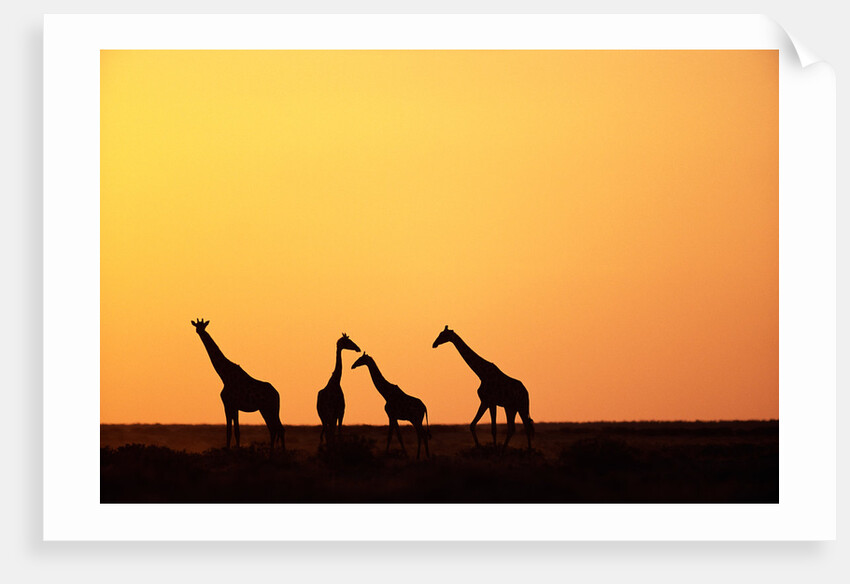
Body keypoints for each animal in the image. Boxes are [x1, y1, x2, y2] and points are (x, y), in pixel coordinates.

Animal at [191, 319, 285, 452]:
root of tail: (277, 394)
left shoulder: (229, 404)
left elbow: (231, 431)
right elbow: (236, 431)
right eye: (197, 326)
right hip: (267, 409)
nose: (199, 331)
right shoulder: (234, 406)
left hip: (270, 408)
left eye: (203, 326)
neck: (224, 376)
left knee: (278, 429)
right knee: (275, 429)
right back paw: (274, 453)